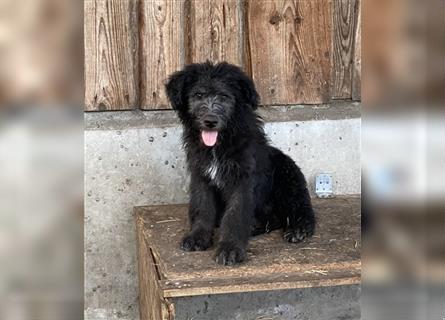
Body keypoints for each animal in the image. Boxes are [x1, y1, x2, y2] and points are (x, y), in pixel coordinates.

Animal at [165, 62, 314, 264]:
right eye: (198, 95)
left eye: (224, 97)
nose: (210, 121)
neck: (219, 145)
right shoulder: (201, 176)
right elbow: (202, 207)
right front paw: (197, 237)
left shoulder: (242, 179)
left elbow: (235, 214)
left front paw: (230, 249)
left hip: (288, 180)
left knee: (300, 209)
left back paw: (298, 229)